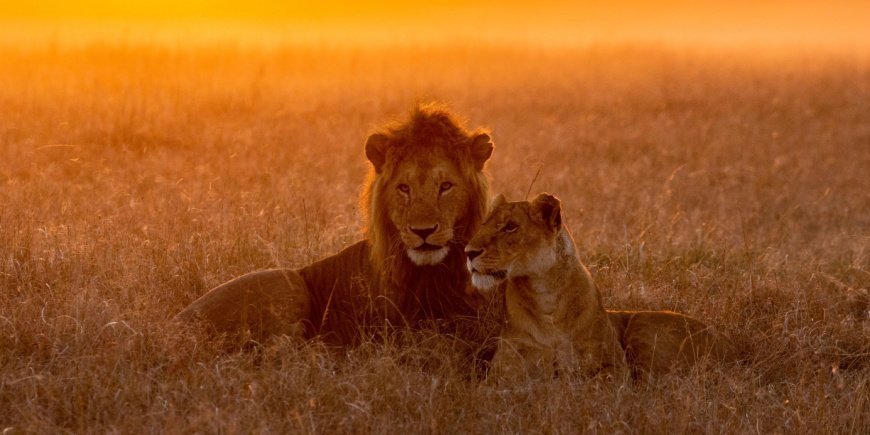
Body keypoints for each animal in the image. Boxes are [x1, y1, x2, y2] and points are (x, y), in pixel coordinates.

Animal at [173, 103, 497, 347]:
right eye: (404, 188)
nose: (423, 231)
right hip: (286, 283)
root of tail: (172, 330)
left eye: (446, 186)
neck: (433, 274)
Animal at [465, 193, 737, 381]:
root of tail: (727, 343)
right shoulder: (502, 371)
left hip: (643, 328)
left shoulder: (614, 367)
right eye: (484, 224)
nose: (468, 252)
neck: (545, 294)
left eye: (510, 226)